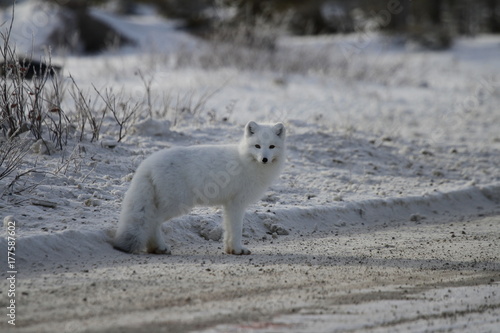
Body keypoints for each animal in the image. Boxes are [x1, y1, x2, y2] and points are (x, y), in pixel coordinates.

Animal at [113, 122, 286, 254]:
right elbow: (237, 229)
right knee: (153, 221)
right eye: (257, 146)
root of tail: (147, 163)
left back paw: (154, 248)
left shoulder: (229, 205)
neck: (245, 160)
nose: (264, 159)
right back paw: (160, 248)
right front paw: (238, 249)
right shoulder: (237, 203)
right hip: (176, 204)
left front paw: (231, 250)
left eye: (271, 146)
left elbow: (229, 229)